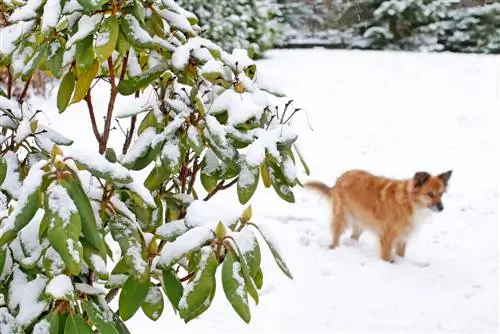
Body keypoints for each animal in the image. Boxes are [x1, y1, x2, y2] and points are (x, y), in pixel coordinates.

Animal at [304, 171, 454, 262]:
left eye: (441, 193)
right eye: (430, 194)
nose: (442, 208)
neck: (410, 202)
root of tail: (340, 179)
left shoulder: (402, 238)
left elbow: (401, 254)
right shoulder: (387, 238)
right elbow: (386, 257)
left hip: (360, 223)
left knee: (353, 236)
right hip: (342, 218)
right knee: (336, 236)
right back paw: (334, 248)